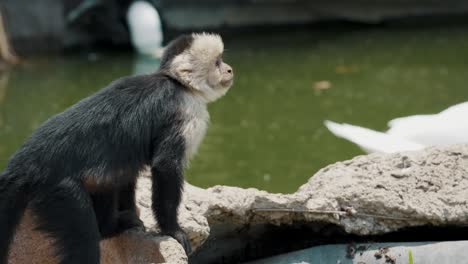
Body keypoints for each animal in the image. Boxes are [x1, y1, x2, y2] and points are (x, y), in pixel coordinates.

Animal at [0, 32, 234, 262]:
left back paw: (111, 227)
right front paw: (172, 230)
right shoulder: (185, 110)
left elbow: (127, 173)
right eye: (217, 62)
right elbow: (165, 165)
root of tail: (25, 163)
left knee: (111, 178)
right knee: (84, 237)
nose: (229, 69)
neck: (178, 84)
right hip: (56, 189)